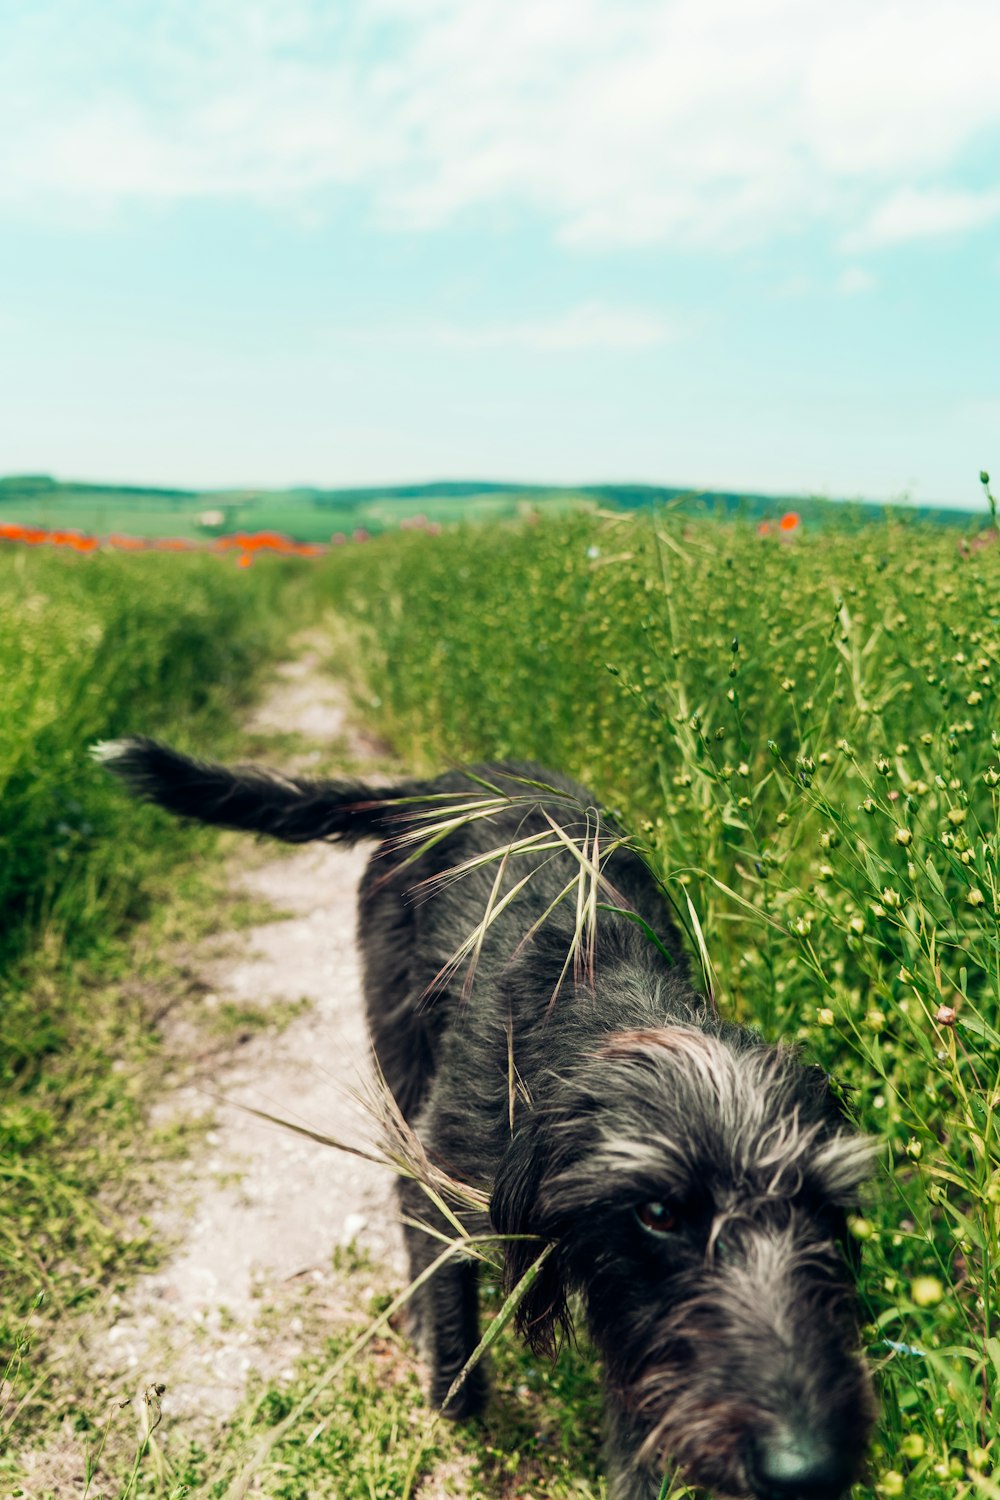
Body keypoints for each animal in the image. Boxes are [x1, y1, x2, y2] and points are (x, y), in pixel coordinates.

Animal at [95, 744, 875, 1494]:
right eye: (658, 1212)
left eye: (825, 1207)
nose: (810, 1470)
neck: (598, 1001)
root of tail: (433, 786)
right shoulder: (447, 1175)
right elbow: (453, 1337)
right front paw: (448, 1384)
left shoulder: (639, 1326)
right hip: (400, 1055)